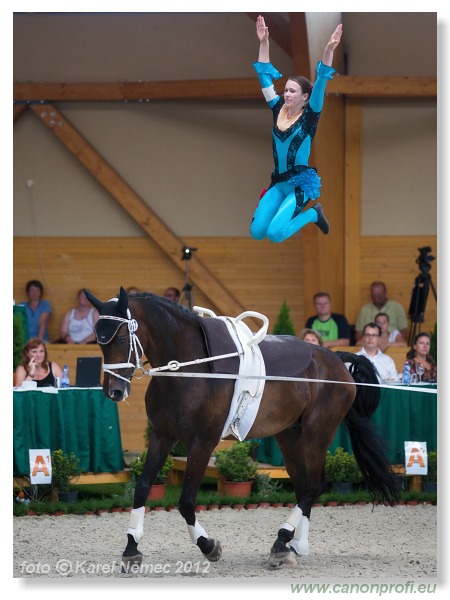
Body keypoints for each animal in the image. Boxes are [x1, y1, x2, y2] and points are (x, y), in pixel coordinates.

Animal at [83, 288, 398, 568]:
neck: (187, 368)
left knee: (314, 485)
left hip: (316, 433)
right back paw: (293, 547)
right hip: (289, 435)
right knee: (305, 486)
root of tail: (338, 361)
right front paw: (131, 549)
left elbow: (186, 501)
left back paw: (282, 541)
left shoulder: (202, 442)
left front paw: (209, 547)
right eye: (99, 342)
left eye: (121, 337)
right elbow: (142, 488)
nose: (113, 391)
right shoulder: (163, 436)